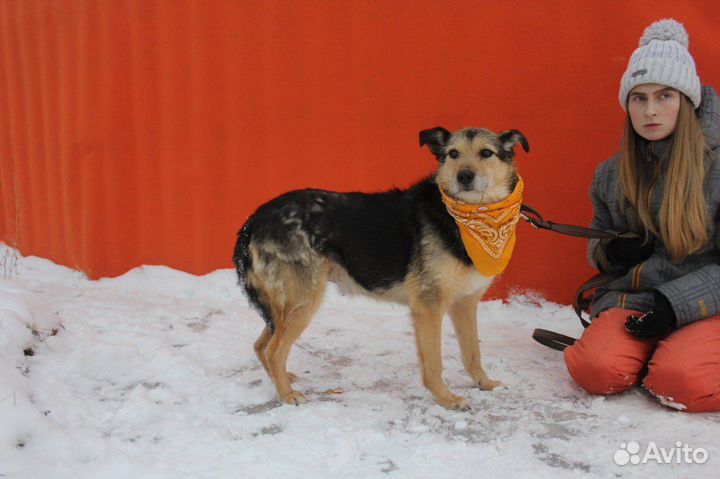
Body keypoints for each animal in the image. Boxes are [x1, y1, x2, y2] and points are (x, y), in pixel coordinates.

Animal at [235, 126, 528, 408]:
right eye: (453, 154)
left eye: (486, 153)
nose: (464, 176)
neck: (464, 218)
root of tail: (255, 219)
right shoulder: (428, 308)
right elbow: (434, 364)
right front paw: (446, 399)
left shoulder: (464, 304)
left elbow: (473, 354)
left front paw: (484, 383)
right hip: (303, 300)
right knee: (273, 350)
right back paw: (287, 394)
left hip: (286, 305)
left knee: (261, 345)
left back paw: (282, 380)